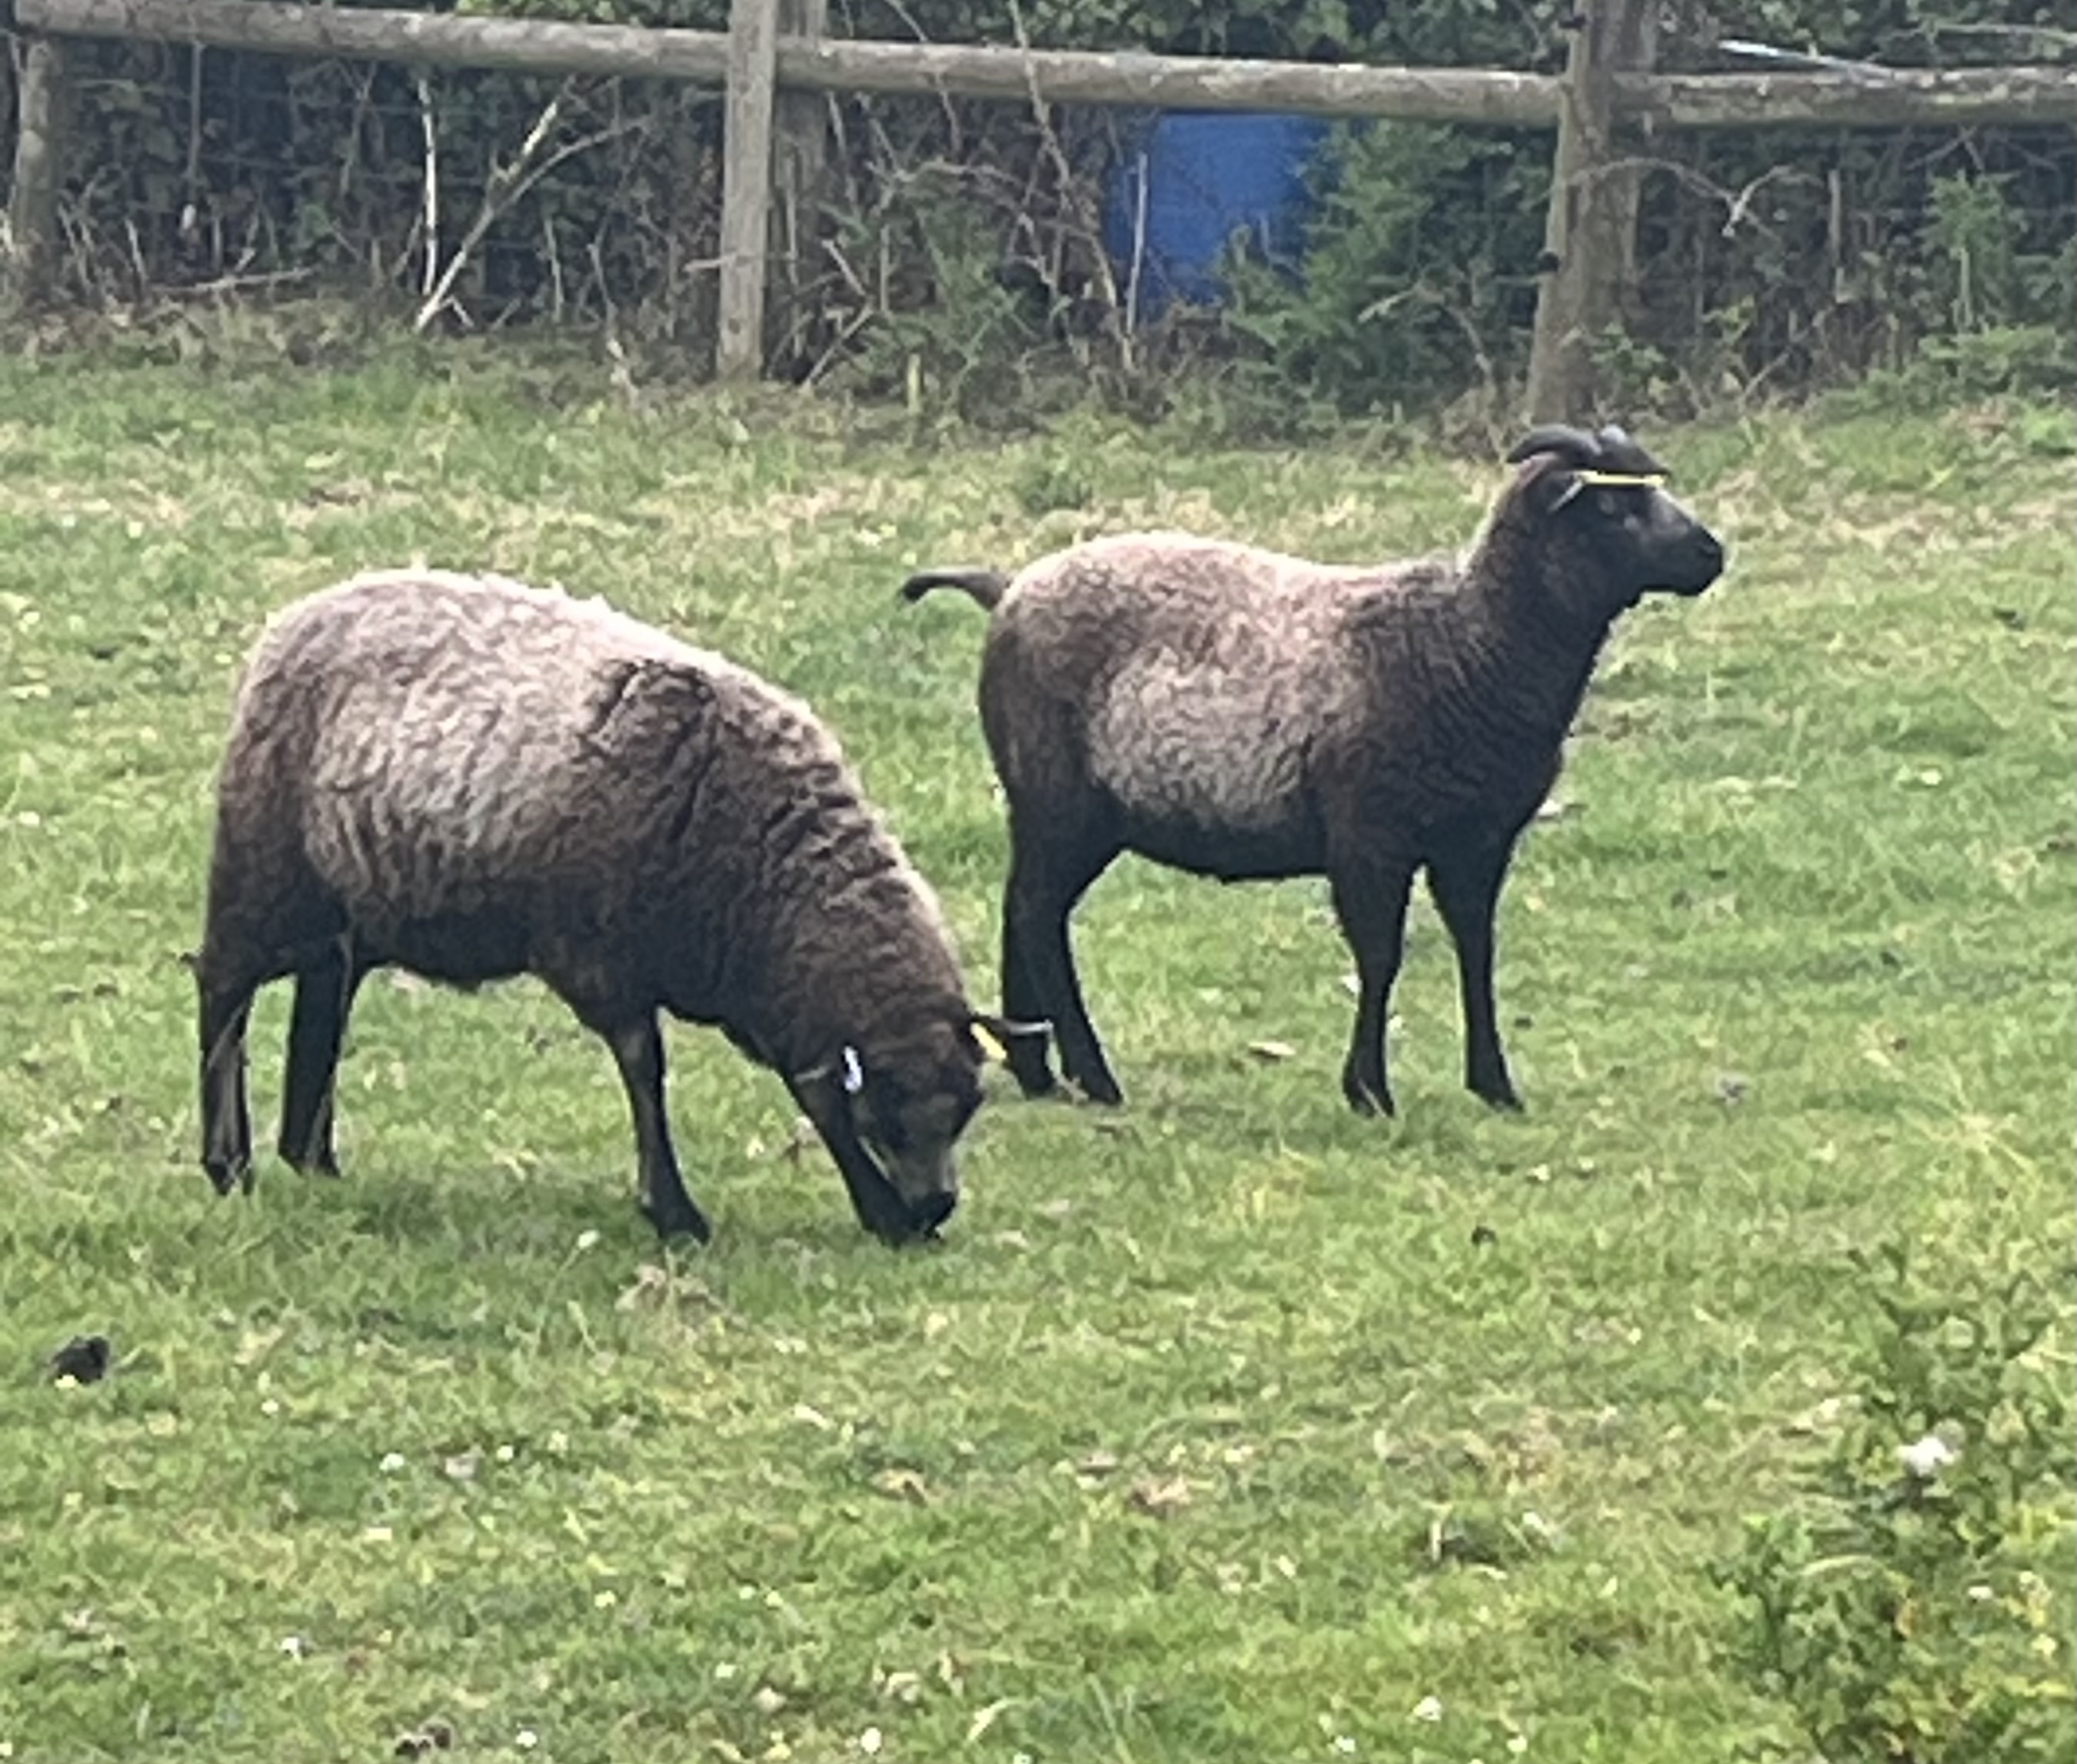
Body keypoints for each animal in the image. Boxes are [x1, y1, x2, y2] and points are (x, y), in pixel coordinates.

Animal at [195, 566, 1031, 1245]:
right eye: (888, 1108)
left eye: (969, 1107)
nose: (936, 1205)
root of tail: (295, 617)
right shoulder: (599, 960)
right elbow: (646, 1068)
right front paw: (675, 1212)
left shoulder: (774, 1000)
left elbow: (814, 1091)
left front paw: (882, 1214)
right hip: (261, 869)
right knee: (223, 990)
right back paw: (228, 1164)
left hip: (352, 909)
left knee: (322, 1006)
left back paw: (312, 1159)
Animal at [899, 423, 1726, 1117]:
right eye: (1612, 507)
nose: (1712, 554)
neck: (1470, 641)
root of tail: (1009, 589)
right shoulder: (1369, 834)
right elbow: (1381, 957)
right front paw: (1370, 1091)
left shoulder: (1477, 841)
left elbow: (1477, 949)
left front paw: (1494, 1086)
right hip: (1063, 798)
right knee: (1040, 913)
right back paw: (1093, 1076)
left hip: (1050, 806)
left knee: (1019, 905)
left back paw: (1037, 1070)